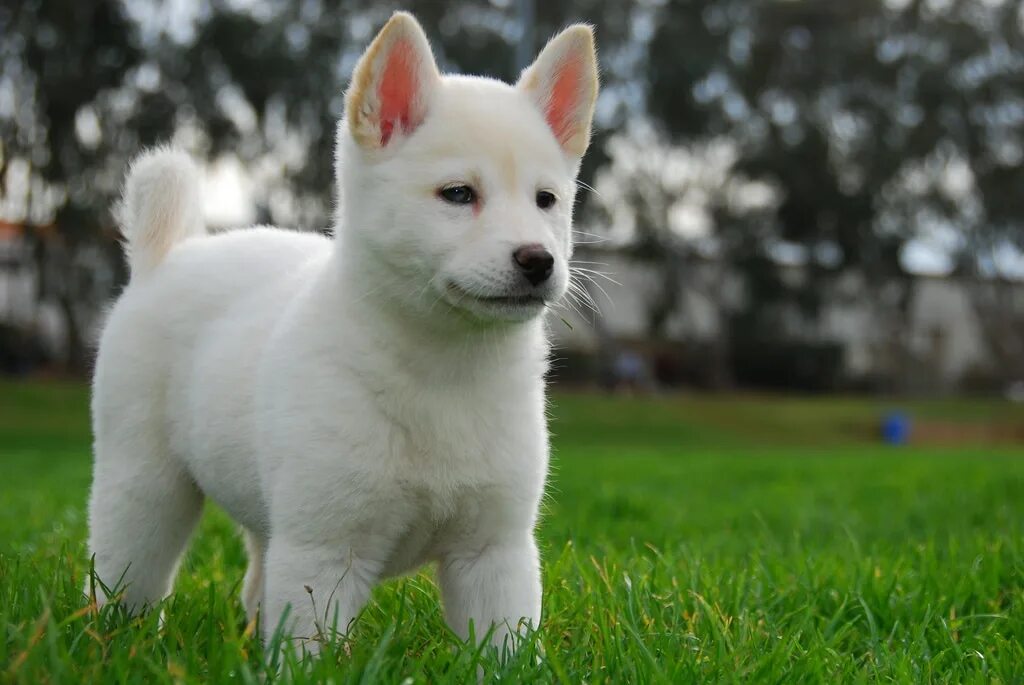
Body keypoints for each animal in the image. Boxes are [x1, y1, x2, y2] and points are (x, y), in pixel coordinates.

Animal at [88, 9, 598, 651]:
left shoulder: (494, 552)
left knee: (254, 586)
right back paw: (112, 642)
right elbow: (311, 650)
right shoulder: (325, 551)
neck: (444, 371)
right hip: (146, 488)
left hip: (264, 512)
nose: (539, 260)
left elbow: (506, 649)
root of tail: (166, 257)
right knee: (126, 574)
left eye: (546, 200)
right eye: (458, 194)